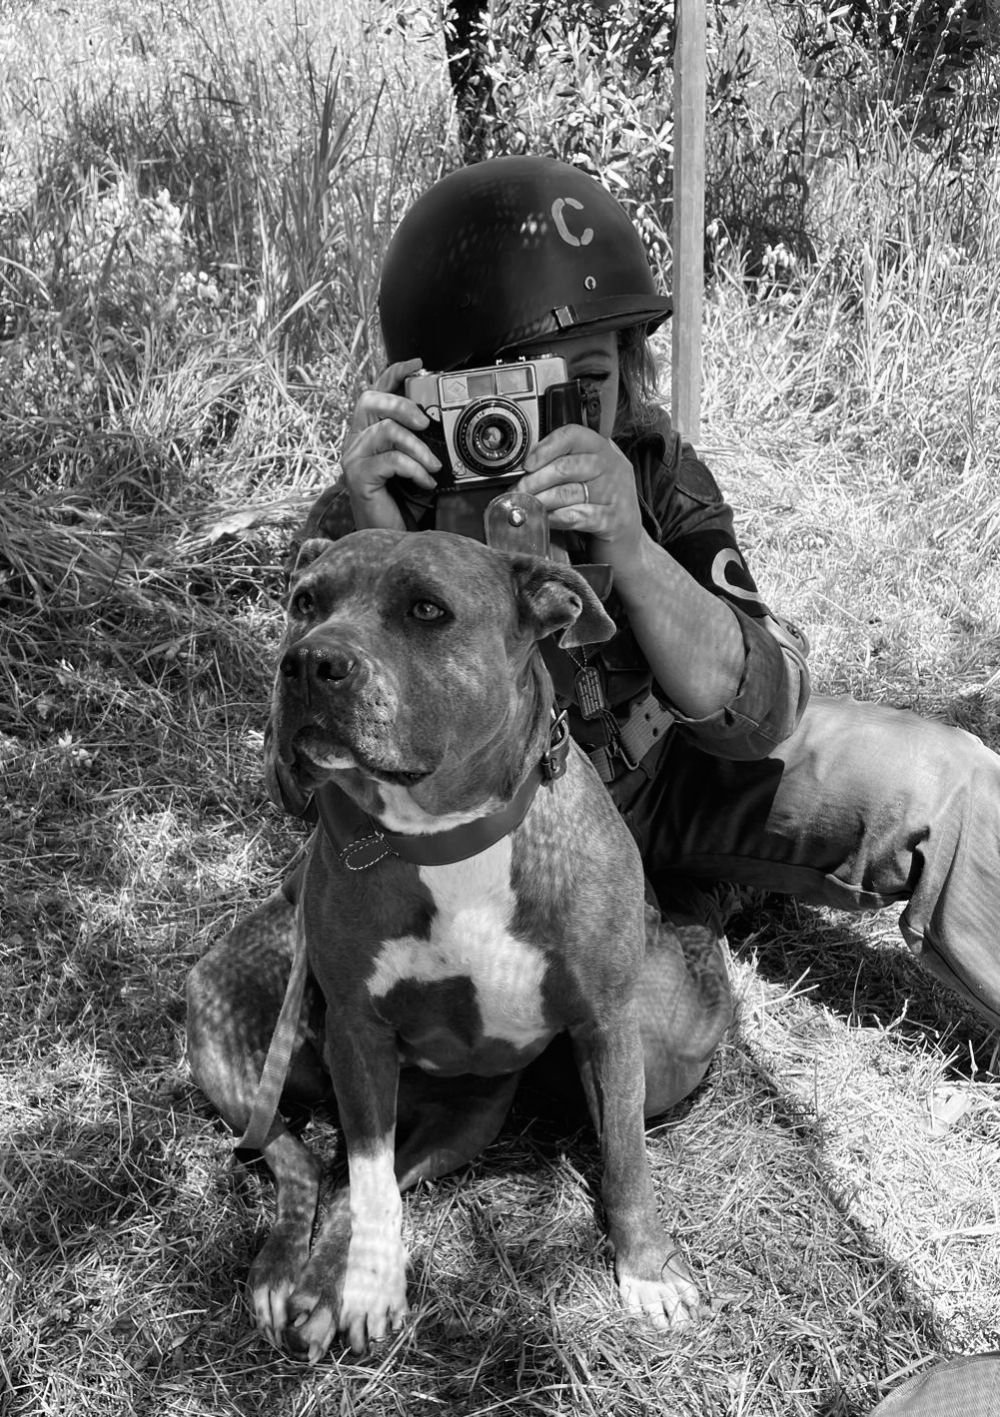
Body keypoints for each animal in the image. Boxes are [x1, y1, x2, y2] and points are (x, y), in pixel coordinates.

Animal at [186, 527, 731, 1362]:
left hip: (468, 1122)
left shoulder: (608, 1022)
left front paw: (646, 1268)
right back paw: (295, 1276)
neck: (445, 835)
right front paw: (369, 1287)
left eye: (427, 610)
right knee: (307, 1164)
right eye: (305, 601)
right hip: (227, 1039)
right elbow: (370, 1178)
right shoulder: (358, 1032)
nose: (307, 661)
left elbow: (626, 1156)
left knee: (337, 1180)